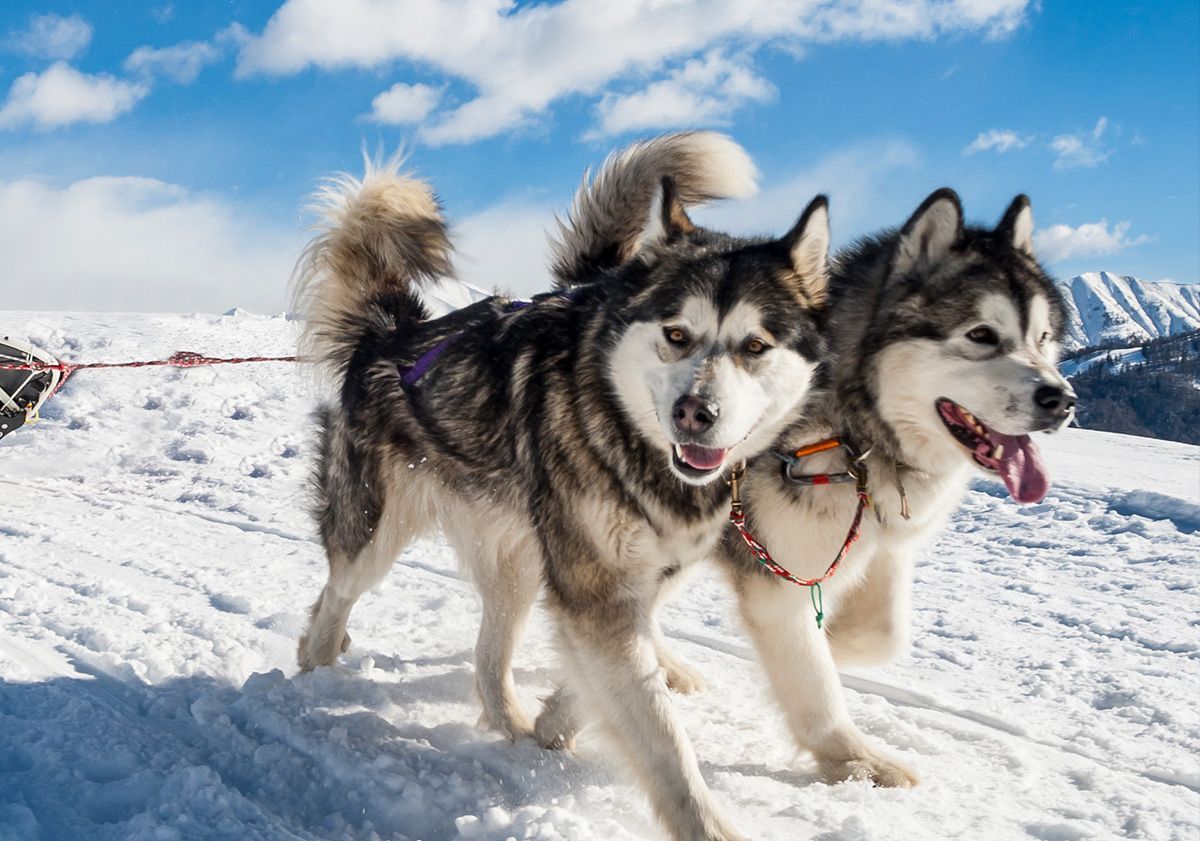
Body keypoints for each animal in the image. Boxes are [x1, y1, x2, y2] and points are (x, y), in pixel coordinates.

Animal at [291, 134, 835, 835]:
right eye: (676, 334)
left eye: (757, 346)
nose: (696, 412)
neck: (628, 438)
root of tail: (391, 333)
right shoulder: (598, 590)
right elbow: (664, 743)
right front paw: (706, 823)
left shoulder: (636, 581)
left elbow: (614, 683)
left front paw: (556, 723)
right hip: (375, 530)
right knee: (336, 594)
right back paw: (317, 667)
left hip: (521, 560)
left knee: (489, 655)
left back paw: (513, 723)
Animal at [552, 183, 1080, 787]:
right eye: (982, 335)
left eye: (1043, 338)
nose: (1061, 399)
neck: (851, 425)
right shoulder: (770, 569)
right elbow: (812, 676)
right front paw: (854, 757)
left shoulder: (873, 540)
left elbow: (881, 633)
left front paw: (836, 648)